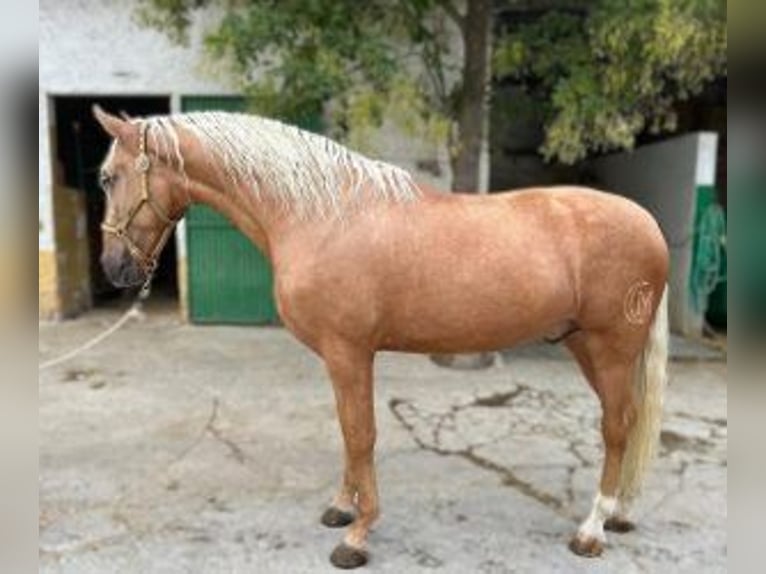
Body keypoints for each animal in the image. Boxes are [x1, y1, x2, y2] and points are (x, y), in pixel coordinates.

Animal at [90, 108, 668, 572]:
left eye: (108, 177)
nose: (114, 269)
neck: (320, 214)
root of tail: (648, 223)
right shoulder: (340, 357)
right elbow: (348, 433)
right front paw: (341, 508)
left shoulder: (350, 352)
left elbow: (361, 433)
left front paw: (357, 535)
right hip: (584, 345)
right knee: (630, 420)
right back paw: (619, 513)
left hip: (610, 347)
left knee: (616, 429)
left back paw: (592, 529)